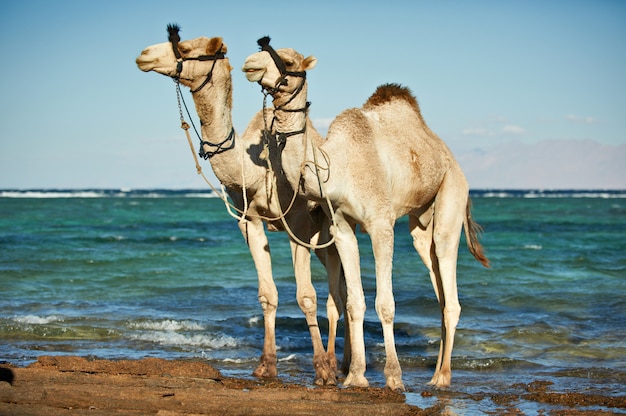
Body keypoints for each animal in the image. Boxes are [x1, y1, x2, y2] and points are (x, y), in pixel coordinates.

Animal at [241, 38, 490, 390]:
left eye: (288, 61)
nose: (249, 63)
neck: (338, 166)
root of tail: (450, 157)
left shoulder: (380, 223)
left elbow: (384, 303)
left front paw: (394, 377)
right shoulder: (342, 226)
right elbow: (354, 302)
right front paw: (356, 376)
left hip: (451, 195)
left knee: (449, 285)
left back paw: (441, 378)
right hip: (420, 227)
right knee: (440, 292)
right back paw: (436, 372)